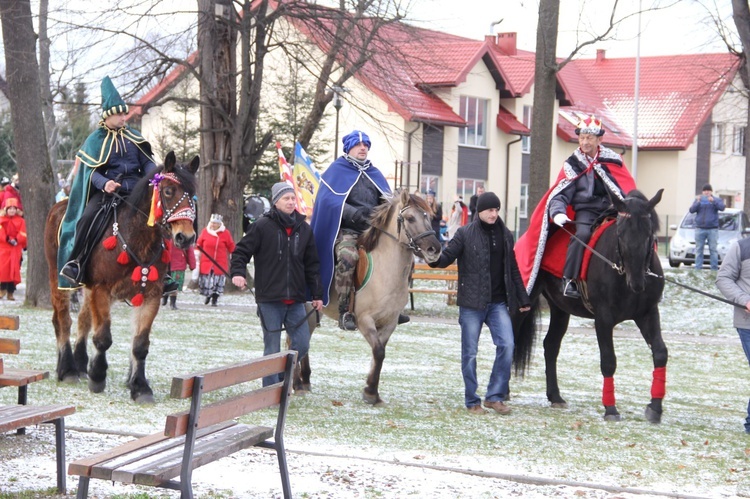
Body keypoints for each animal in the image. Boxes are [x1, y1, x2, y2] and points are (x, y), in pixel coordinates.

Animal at [43, 151, 198, 402]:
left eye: (193, 195)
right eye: (167, 191)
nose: (185, 237)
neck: (137, 237)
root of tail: (60, 205)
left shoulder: (151, 295)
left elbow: (140, 344)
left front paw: (140, 387)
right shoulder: (101, 289)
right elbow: (103, 337)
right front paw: (98, 377)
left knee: (83, 321)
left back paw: (80, 365)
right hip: (58, 279)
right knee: (63, 320)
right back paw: (67, 369)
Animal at [298, 191, 444, 406]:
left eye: (428, 217)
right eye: (410, 218)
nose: (434, 249)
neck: (385, 270)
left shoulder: (390, 322)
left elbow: (379, 354)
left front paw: (371, 391)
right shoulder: (365, 320)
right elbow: (379, 351)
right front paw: (371, 393)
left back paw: (305, 380)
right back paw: (296, 383)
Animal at [516, 189, 668, 424]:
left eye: (649, 233)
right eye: (620, 233)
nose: (637, 283)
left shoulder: (647, 313)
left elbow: (660, 352)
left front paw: (655, 408)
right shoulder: (603, 319)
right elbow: (608, 360)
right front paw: (611, 409)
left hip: (560, 310)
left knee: (551, 345)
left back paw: (555, 396)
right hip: (525, 299)